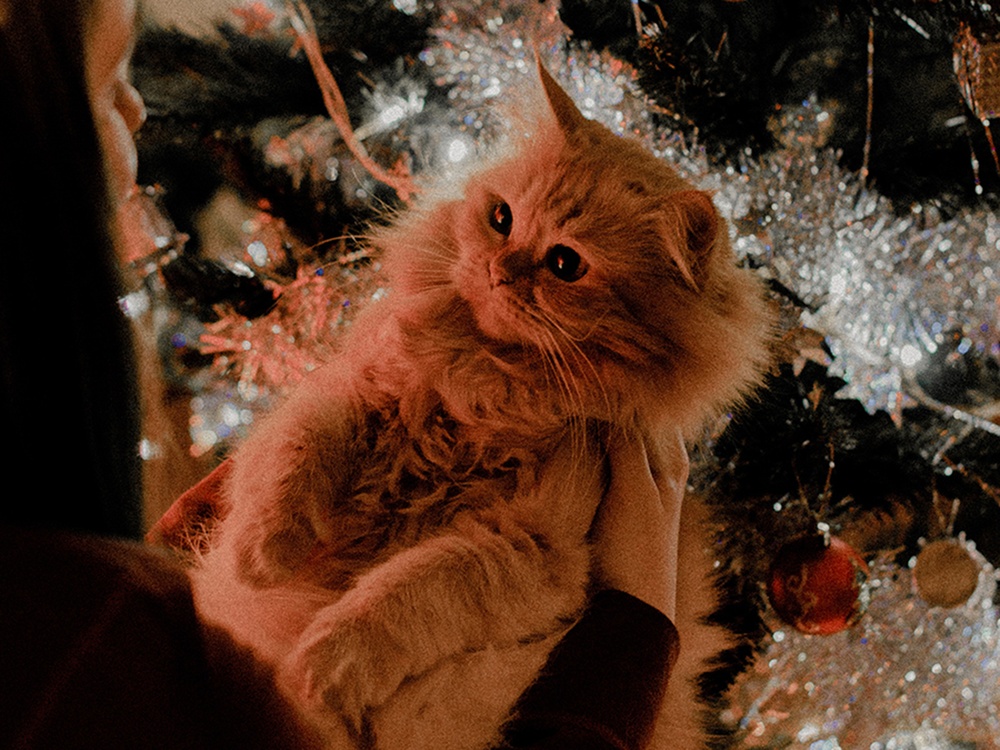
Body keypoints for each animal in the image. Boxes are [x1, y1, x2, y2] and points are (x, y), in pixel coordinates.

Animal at [195, 61, 772, 748]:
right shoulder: (344, 392)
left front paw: (323, 661)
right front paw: (262, 553)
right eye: (501, 219)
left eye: (565, 263)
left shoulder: (529, 549)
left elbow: (405, 595)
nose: (500, 270)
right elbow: (293, 457)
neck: (482, 387)